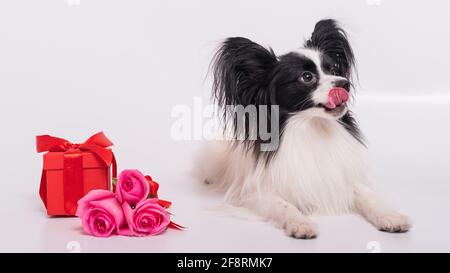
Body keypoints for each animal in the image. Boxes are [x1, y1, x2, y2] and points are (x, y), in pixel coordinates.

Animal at [200, 19, 412, 237]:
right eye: (307, 77)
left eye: (333, 69)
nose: (345, 84)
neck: (312, 127)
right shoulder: (253, 194)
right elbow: (283, 205)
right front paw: (300, 222)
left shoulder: (344, 181)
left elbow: (368, 196)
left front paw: (389, 216)